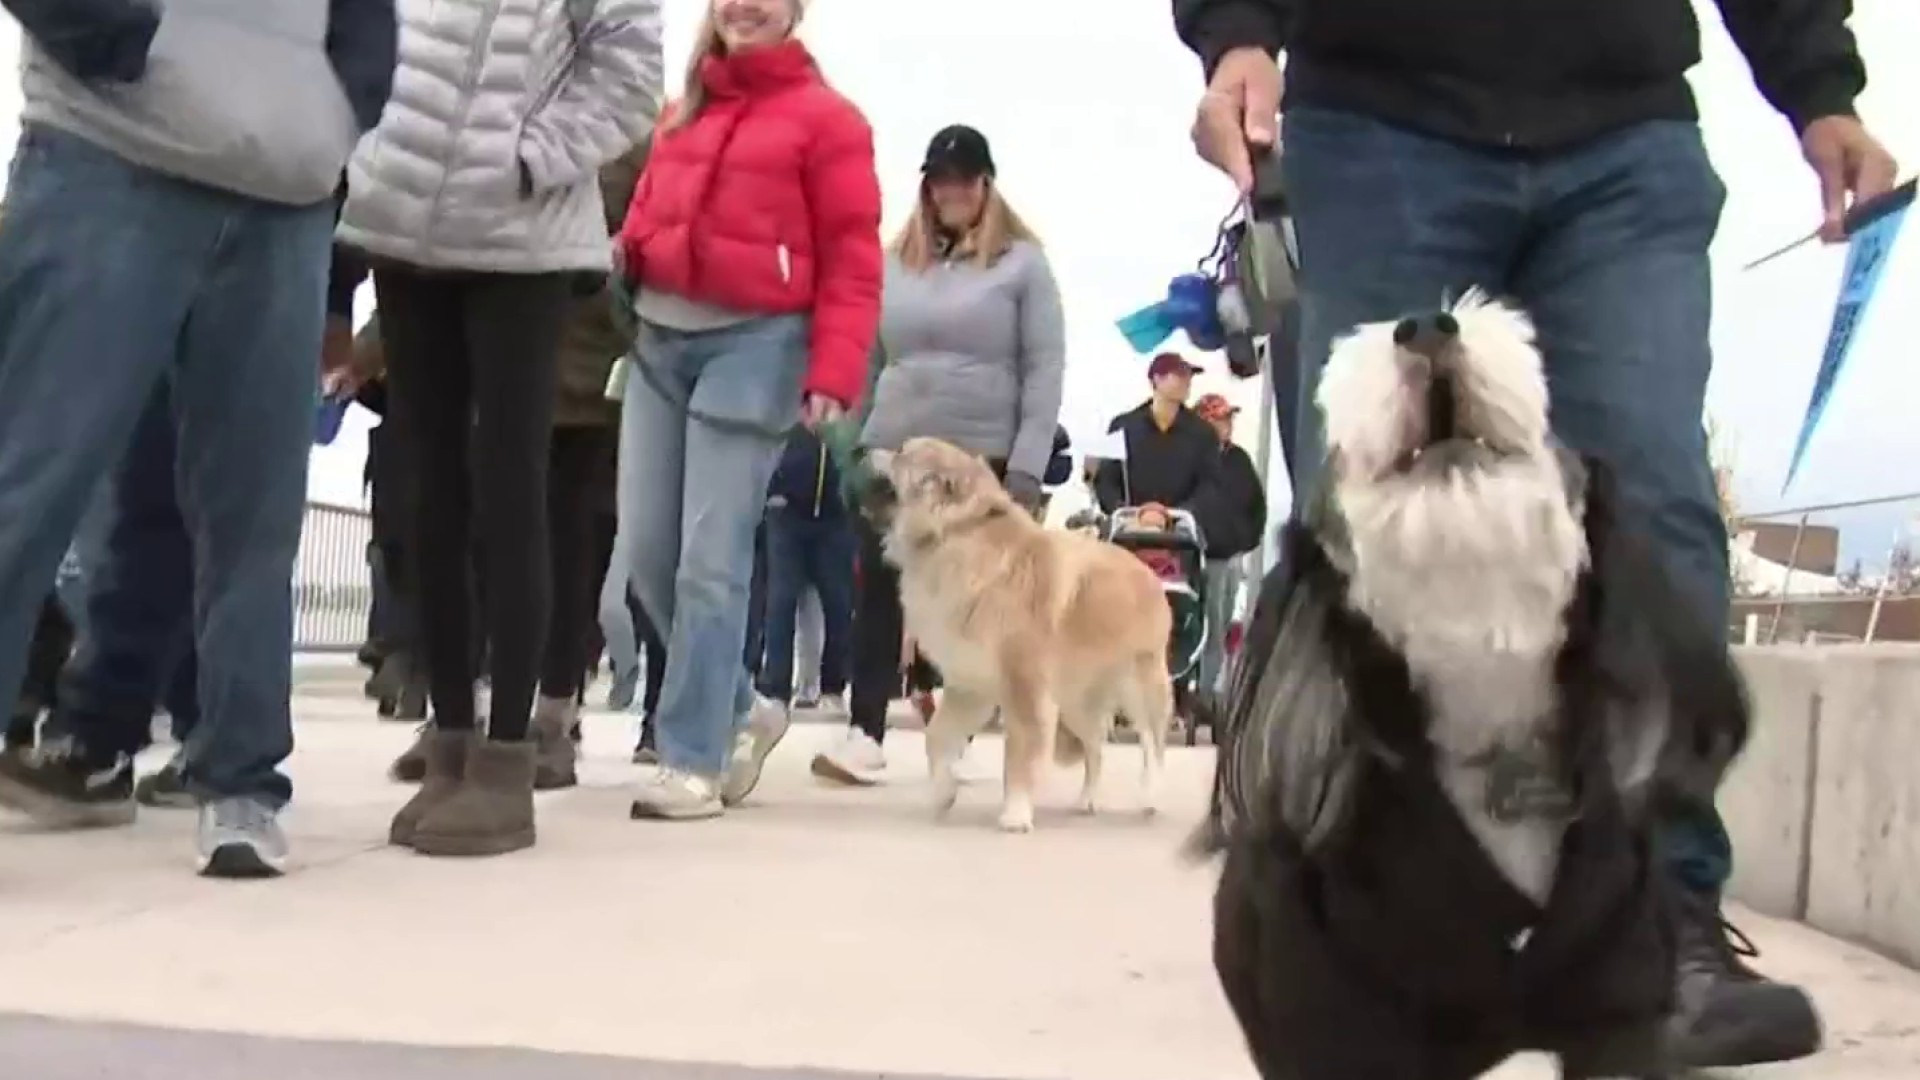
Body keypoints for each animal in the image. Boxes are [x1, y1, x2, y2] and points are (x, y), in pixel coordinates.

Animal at [864, 432, 1175, 826]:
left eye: (902, 454)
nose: (864, 450)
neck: (958, 532)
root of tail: (1146, 570)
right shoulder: (970, 683)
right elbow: (936, 738)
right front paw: (943, 793)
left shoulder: (1024, 686)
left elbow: (1020, 755)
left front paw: (1016, 812)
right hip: (1076, 701)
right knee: (1095, 747)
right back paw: (1087, 799)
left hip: (1138, 683)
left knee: (1152, 744)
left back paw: (1152, 796)